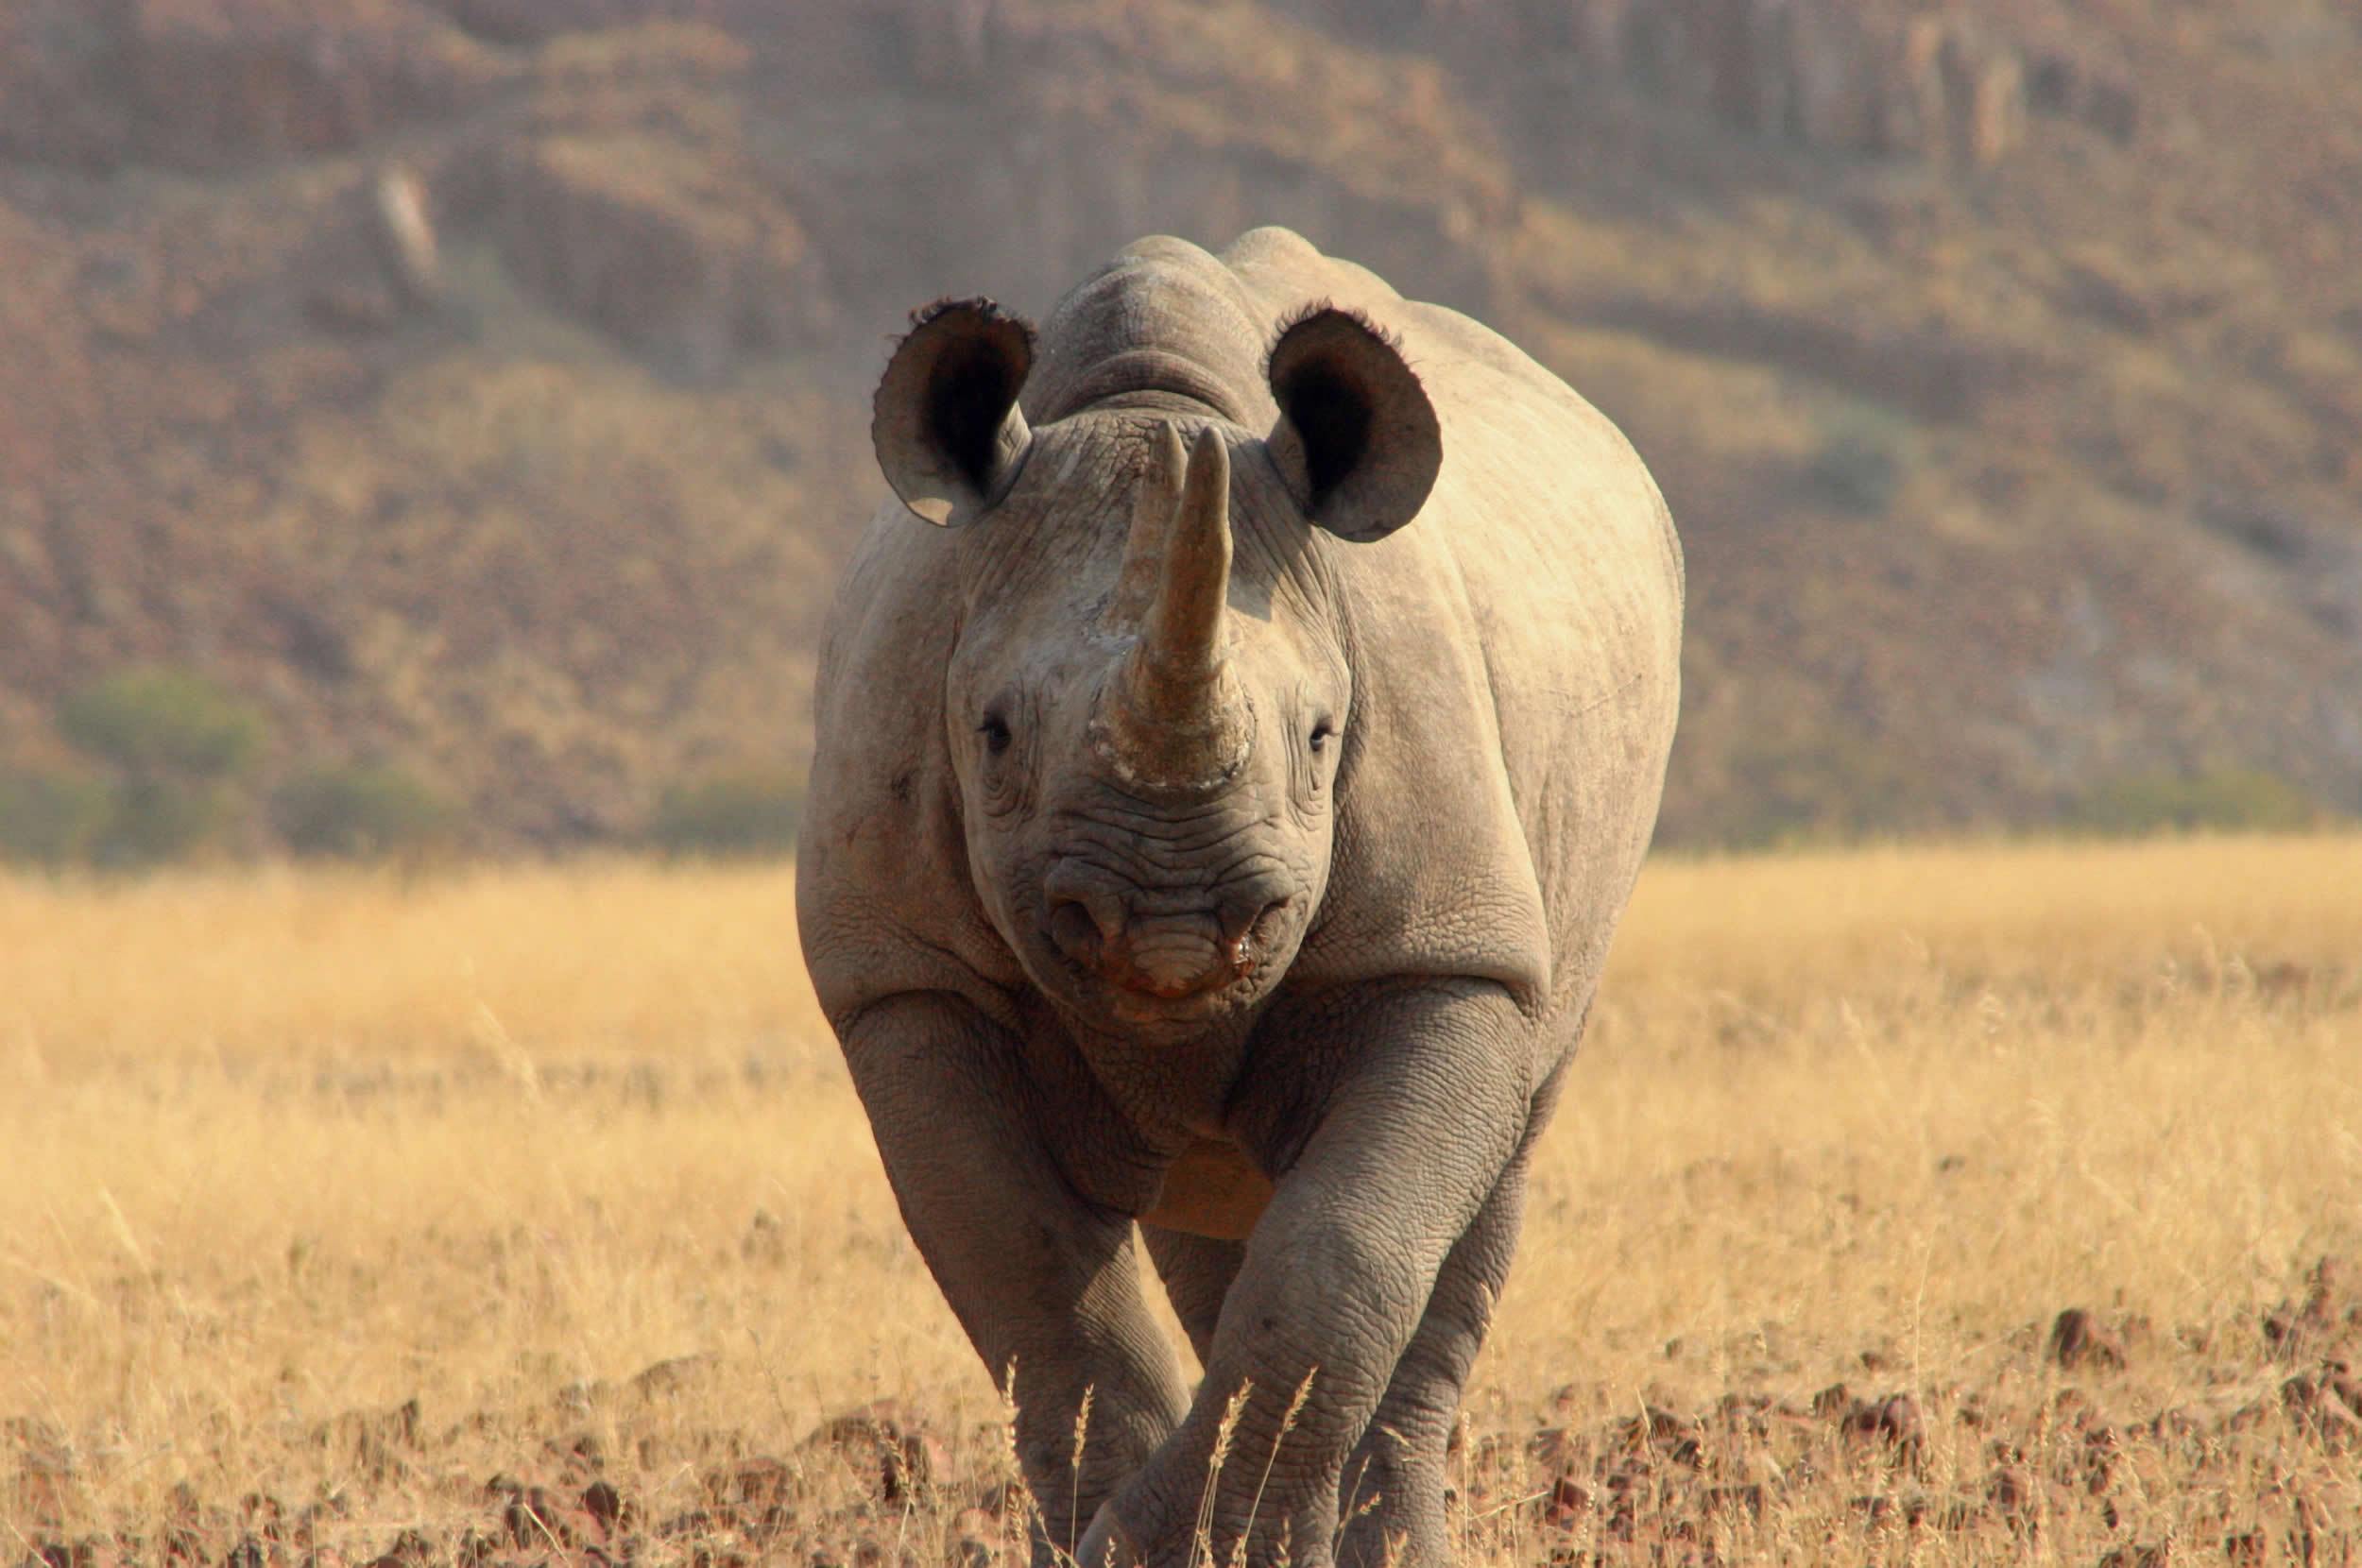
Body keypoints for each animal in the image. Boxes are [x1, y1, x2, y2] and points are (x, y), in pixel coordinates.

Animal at [803, 223, 1691, 1568]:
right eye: (995, 735)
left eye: (1322, 738)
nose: (1173, 930)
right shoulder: (903, 972)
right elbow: (1032, 1281)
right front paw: (1128, 1541)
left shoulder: (1442, 948)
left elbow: (1344, 1254)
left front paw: (1200, 1544)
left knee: (1481, 1170)